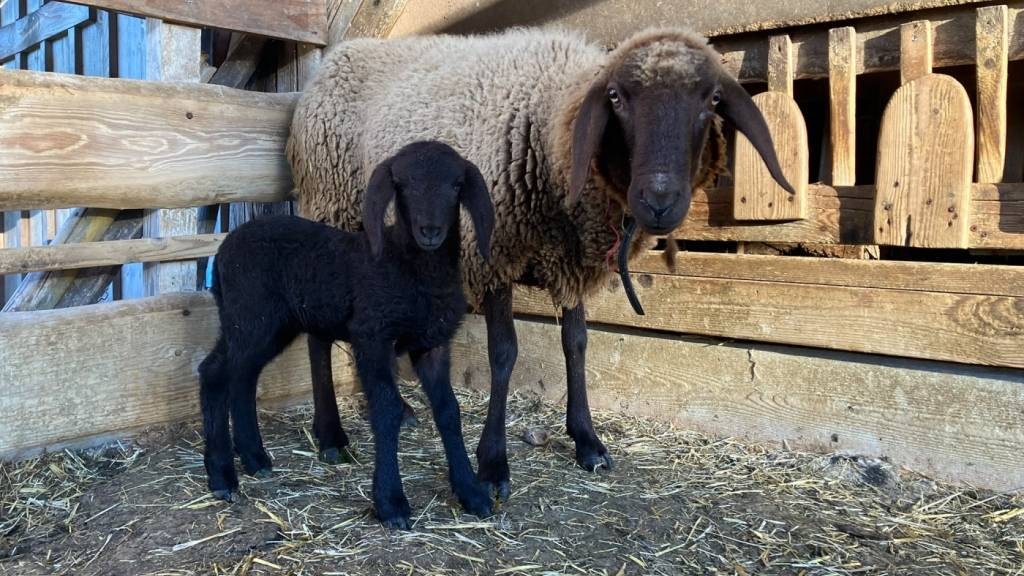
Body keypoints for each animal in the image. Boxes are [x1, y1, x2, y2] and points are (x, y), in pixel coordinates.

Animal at [198, 141, 496, 529]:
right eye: (403, 185)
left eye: (457, 185)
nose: (430, 230)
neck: (411, 269)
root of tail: (222, 250)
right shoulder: (372, 336)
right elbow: (385, 409)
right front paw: (391, 502)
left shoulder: (433, 345)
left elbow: (448, 411)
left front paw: (472, 492)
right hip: (249, 315)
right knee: (215, 373)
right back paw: (221, 475)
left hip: (265, 324)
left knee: (242, 376)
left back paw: (254, 457)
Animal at [287, 27, 794, 500]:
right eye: (616, 97)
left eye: (712, 99)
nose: (659, 201)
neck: (549, 126)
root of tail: (338, 56)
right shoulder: (493, 253)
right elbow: (504, 353)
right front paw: (492, 464)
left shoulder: (569, 262)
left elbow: (577, 344)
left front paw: (587, 441)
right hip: (331, 207)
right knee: (317, 331)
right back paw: (331, 436)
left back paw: (400, 410)